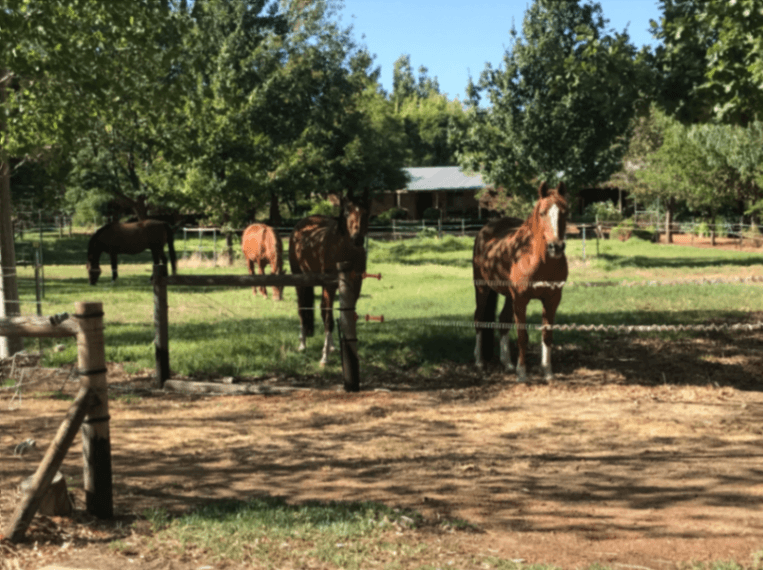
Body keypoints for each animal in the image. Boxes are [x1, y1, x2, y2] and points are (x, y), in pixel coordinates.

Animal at [289, 196, 368, 365]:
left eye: (366, 213)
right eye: (346, 212)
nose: (357, 239)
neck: (345, 250)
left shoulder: (356, 286)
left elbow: (347, 317)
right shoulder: (330, 286)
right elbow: (328, 318)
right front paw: (324, 357)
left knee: (323, 310)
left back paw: (331, 346)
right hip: (300, 280)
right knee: (303, 309)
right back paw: (303, 344)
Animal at [472, 181, 568, 382]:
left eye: (566, 211)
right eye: (542, 212)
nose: (556, 247)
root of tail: (485, 230)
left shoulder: (552, 299)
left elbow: (547, 334)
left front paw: (547, 372)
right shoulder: (521, 300)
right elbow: (522, 336)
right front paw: (522, 372)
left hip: (509, 297)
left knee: (503, 321)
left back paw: (507, 363)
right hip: (482, 288)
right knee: (479, 319)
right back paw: (479, 362)